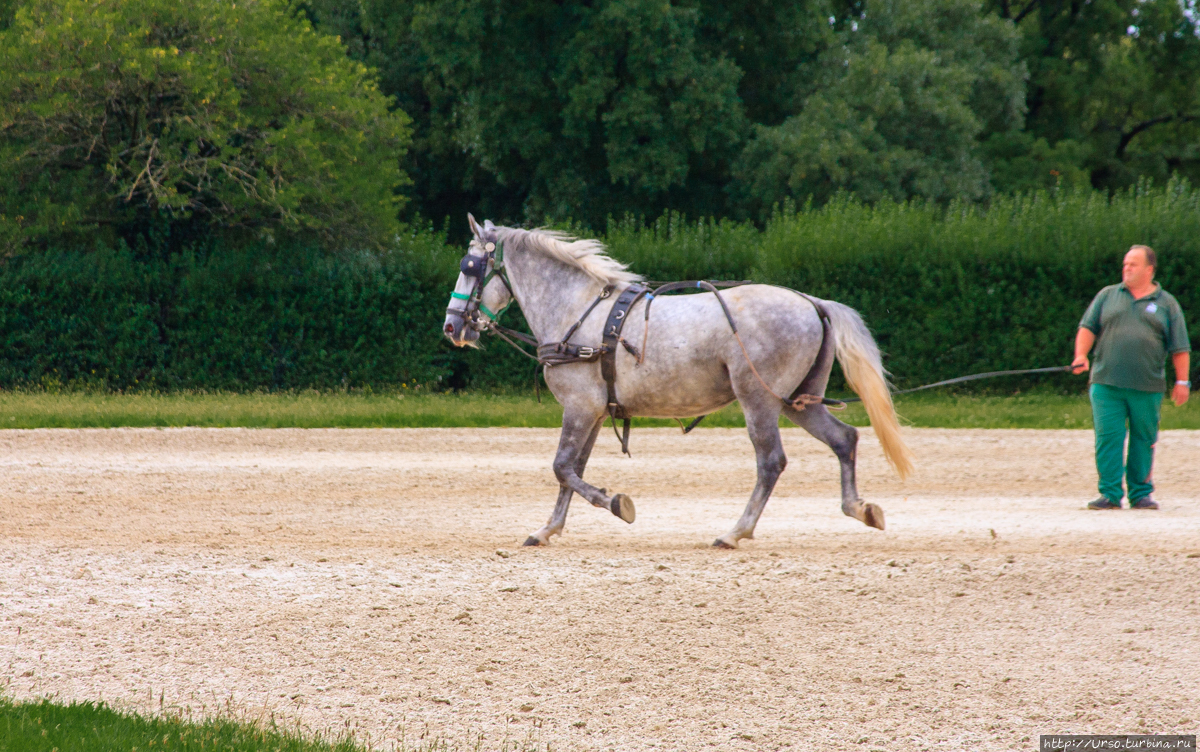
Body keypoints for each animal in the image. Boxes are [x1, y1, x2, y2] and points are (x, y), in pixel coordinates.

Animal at [446, 214, 912, 549]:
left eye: (470, 267)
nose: (452, 327)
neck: (577, 311)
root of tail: (812, 302)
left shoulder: (578, 407)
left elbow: (562, 467)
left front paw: (616, 503)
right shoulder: (593, 410)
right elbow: (572, 470)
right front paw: (548, 529)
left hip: (759, 400)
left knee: (771, 462)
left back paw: (735, 532)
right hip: (798, 400)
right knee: (844, 439)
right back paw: (859, 508)